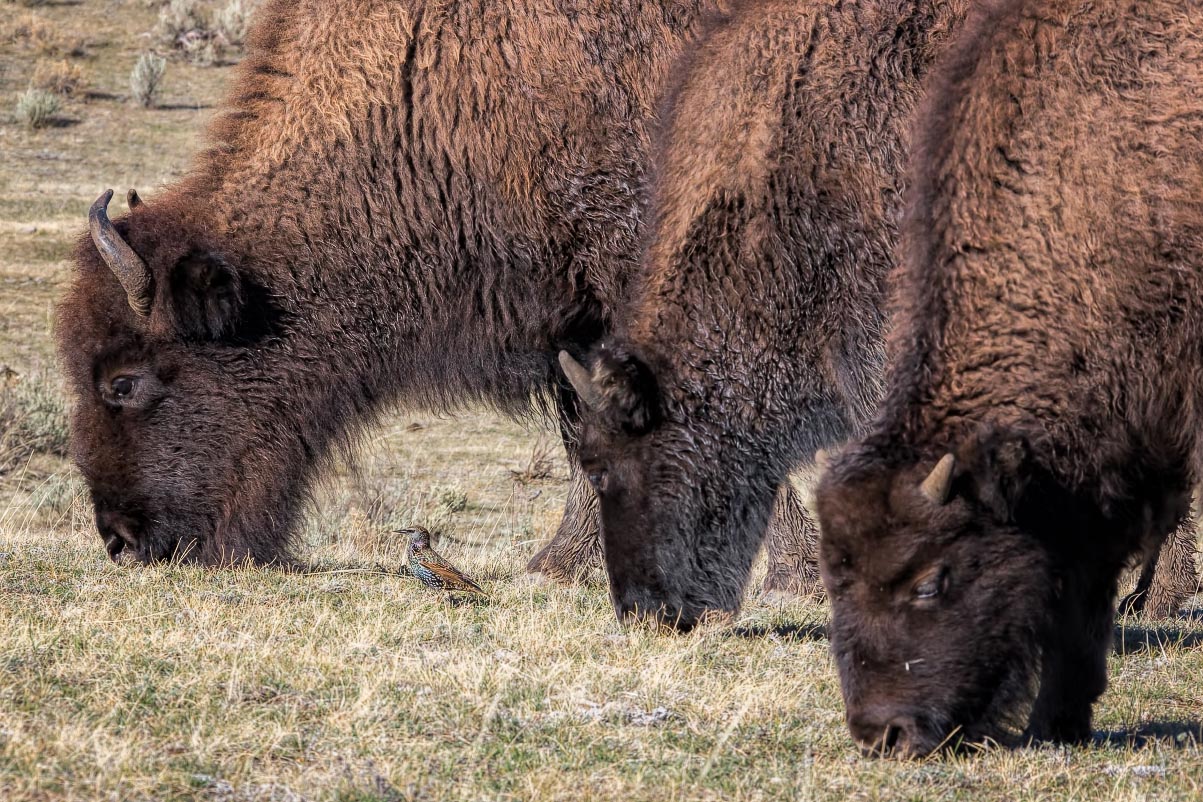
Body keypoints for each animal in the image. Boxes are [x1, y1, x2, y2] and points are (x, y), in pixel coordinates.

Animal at [54, 0, 818, 589]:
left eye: (124, 382)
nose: (121, 540)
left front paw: (789, 576)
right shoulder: (572, 307)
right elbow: (581, 423)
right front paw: (559, 566)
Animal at [818, 0, 1203, 759]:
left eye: (931, 581)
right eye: (835, 583)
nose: (883, 735)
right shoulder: (1113, 447)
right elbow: (1082, 584)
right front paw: (1057, 723)